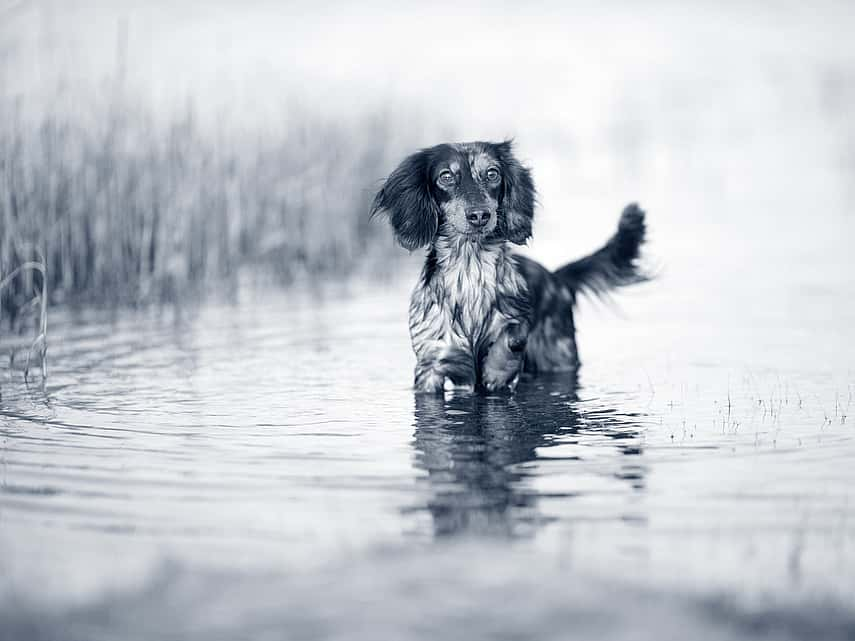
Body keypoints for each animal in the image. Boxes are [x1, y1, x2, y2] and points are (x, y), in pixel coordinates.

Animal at [372, 139, 644, 390]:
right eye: (446, 176)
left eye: (492, 173)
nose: (479, 215)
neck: (469, 272)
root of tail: (555, 277)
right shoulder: (431, 363)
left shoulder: (517, 323)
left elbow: (513, 334)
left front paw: (497, 367)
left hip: (558, 357)